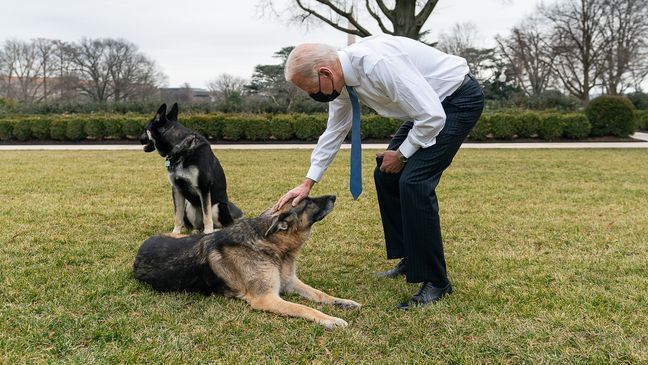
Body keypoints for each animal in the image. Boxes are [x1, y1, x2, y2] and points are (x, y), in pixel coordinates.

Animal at [133, 195, 360, 328]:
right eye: (310, 202)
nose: (334, 196)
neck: (270, 243)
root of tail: (140, 249)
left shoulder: (290, 282)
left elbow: (320, 295)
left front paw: (343, 302)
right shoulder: (266, 298)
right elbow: (304, 308)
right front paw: (329, 319)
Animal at [140, 102, 243, 233]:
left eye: (145, 129)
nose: (139, 139)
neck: (180, 147)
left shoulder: (204, 188)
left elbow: (207, 215)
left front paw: (208, 233)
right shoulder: (176, 189)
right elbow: (178, 216)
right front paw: (175, 233)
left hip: (217, 206)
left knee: (222, 224)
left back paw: (213, 230)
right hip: (189, 205)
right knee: (198, 225)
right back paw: (196, 231)